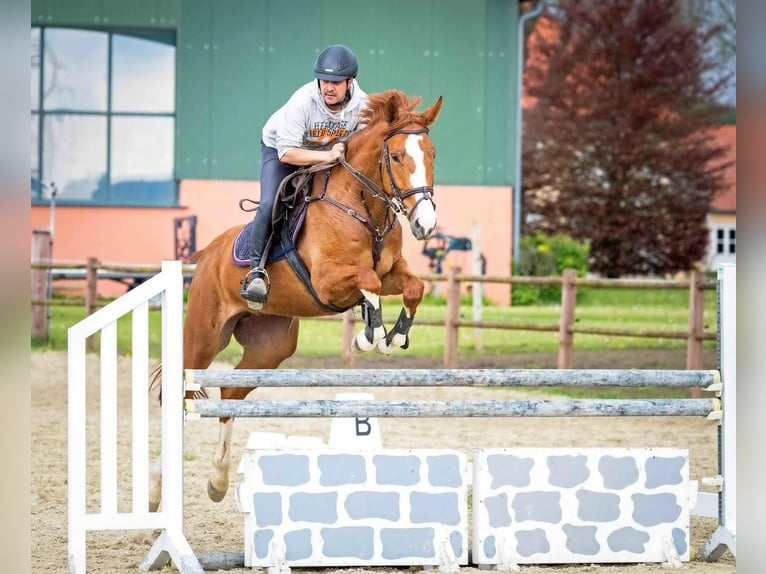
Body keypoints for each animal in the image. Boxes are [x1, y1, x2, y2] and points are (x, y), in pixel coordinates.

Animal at [149, 88, 444, 510]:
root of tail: (208, 253)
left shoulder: (393, 274)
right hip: (204, 336)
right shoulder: (329, 281)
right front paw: (368, 334)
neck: (362, 206)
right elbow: (367, 280)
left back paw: (218, 481)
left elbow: (412, 287)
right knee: (180, 392)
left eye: (433, 155)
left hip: (270, 347)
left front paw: (394, 336)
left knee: (231, 394)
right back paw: (156, 488)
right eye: (398, 156)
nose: (425, 225)